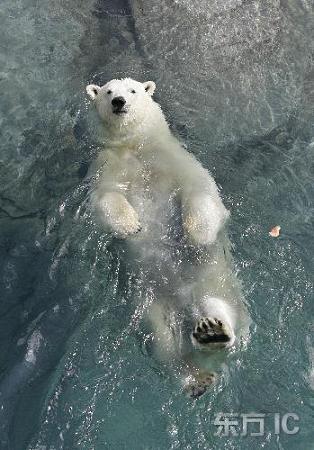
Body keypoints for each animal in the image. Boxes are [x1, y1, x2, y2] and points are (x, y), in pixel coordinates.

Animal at [86, 77, 250, 398]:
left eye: (133, 90)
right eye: (108, 91)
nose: (119, 102)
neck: (136, 146)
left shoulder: (175, 160)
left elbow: (200, 191)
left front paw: (197, 236)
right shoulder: (107, 166)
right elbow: (104, 198)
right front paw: (131, 226)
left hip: (218, 282)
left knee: (223, 309)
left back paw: (213, 331)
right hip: (149, 305)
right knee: (163, 344)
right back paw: (196, 375)